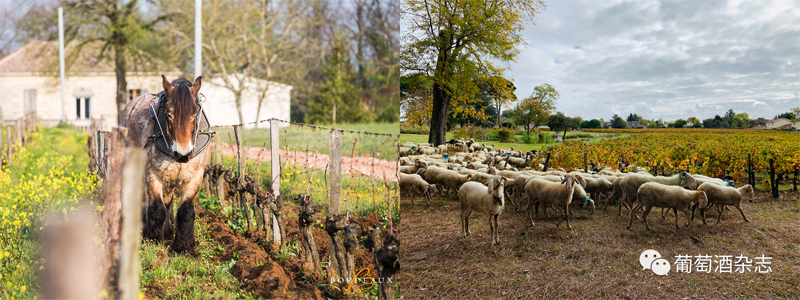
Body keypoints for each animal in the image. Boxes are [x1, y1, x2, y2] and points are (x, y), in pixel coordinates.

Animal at [122, 75, 209, 253]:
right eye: (169, 115)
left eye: (194, 115)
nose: (183, 154)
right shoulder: (152, 174)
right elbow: (157, 208)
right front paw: (153, 239)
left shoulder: (195, 177)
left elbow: (186, 211)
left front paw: (184, 247)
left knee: (168, 200)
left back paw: (168, 231)